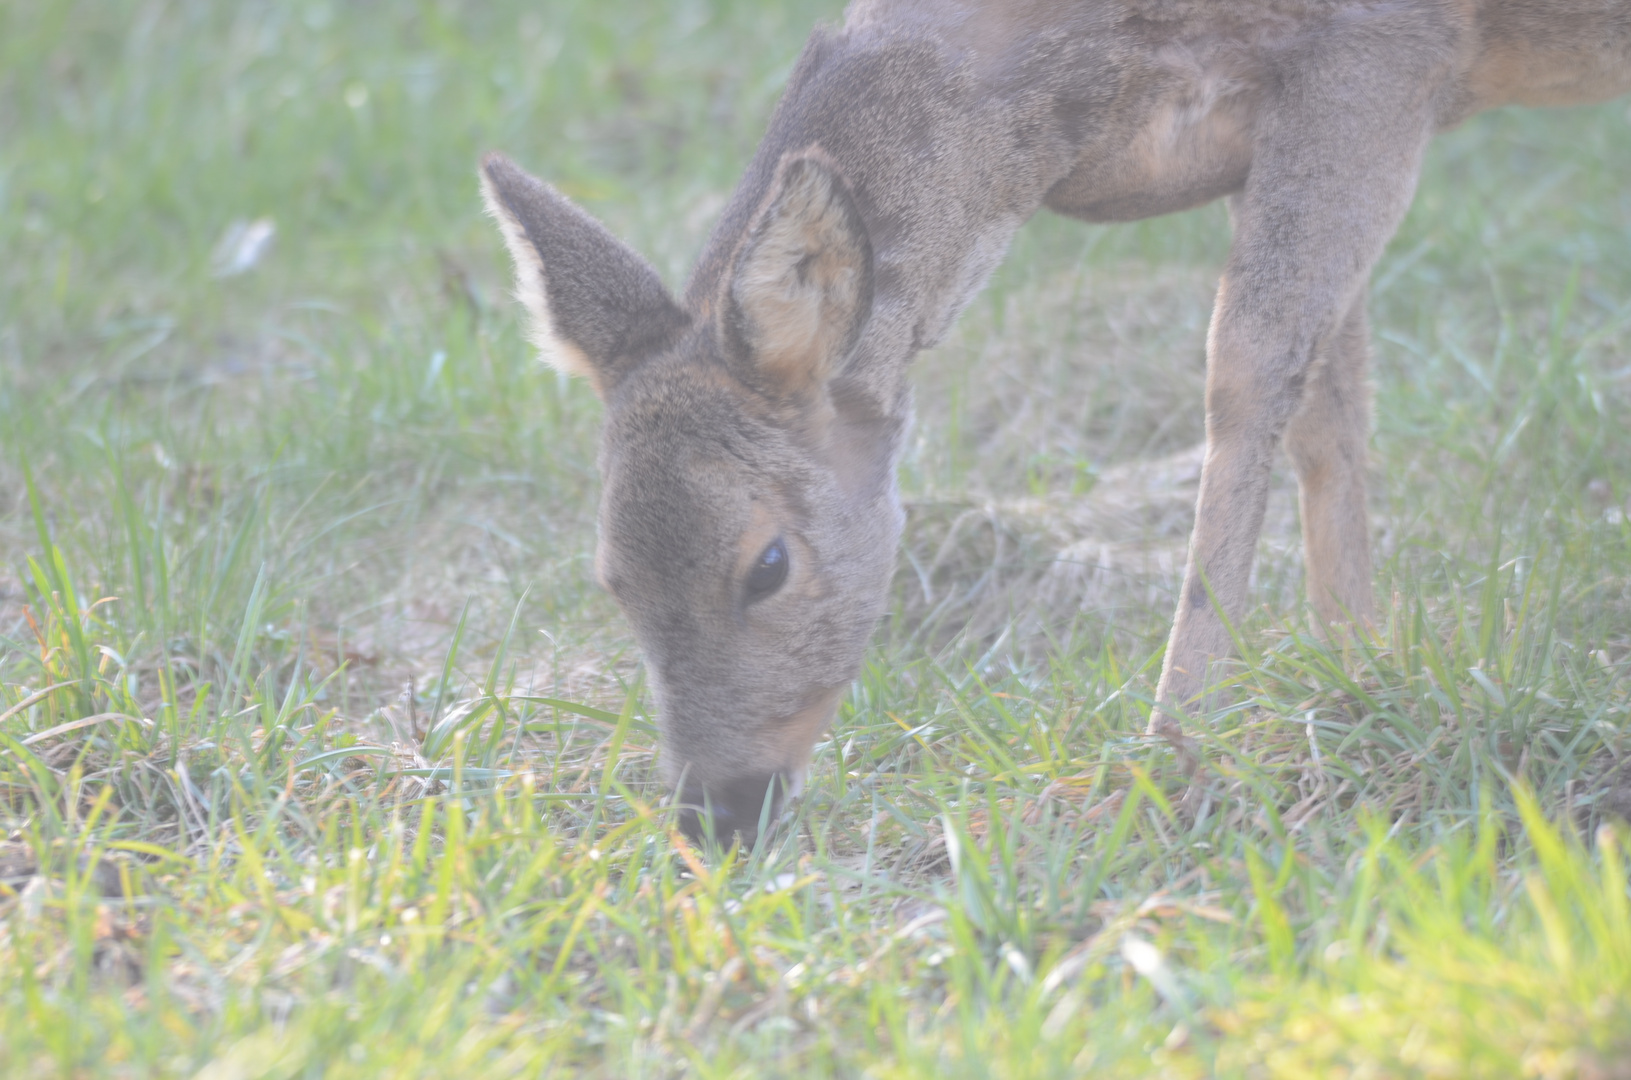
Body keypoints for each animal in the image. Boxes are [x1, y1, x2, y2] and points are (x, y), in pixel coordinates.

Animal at [482, 0, 1631, 848]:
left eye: (766, 564)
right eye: (610, 578)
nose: (713, 814)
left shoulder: (1379, 55)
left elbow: (1247, 369)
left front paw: (1165, 765)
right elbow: (1329, 407)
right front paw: (1357, 677)